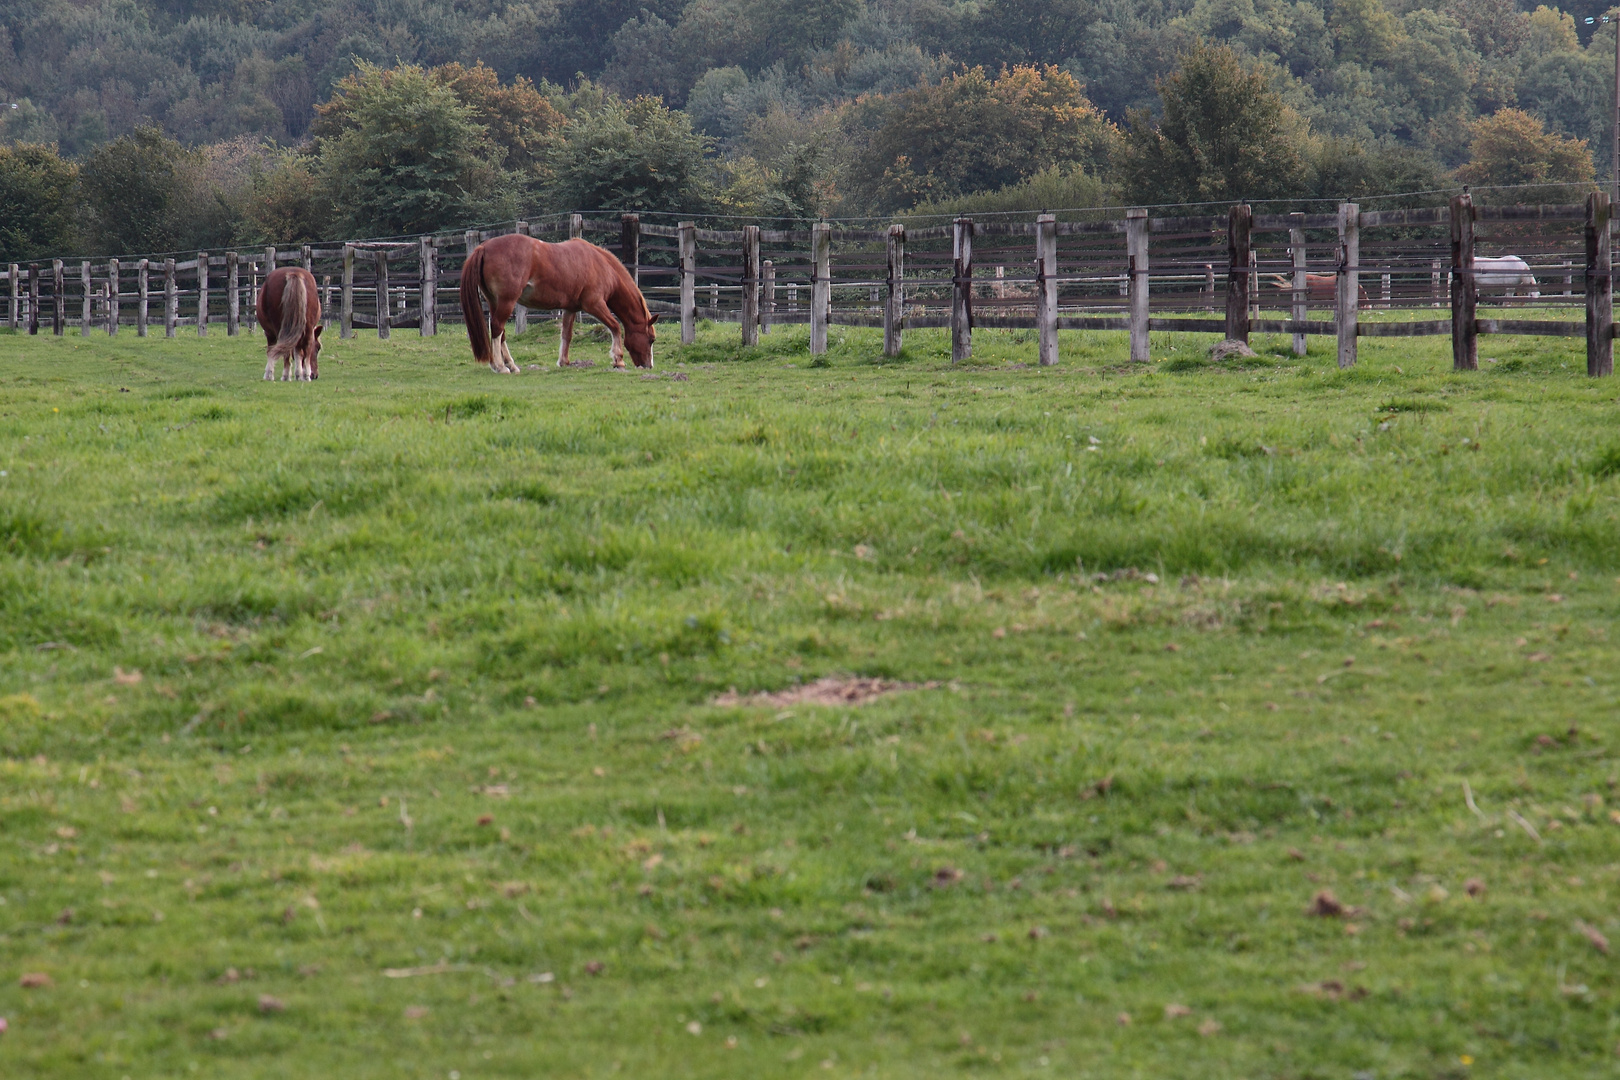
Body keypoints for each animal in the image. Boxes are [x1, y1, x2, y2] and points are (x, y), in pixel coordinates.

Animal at [456, 234, 657, 374]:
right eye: (651, 339)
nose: (648, 366)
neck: (601, 265)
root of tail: (483, 247)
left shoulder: (570, 308)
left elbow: (566, 334)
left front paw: (564, 362)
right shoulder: (594, 305)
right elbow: (615, 326)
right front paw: (618, 360)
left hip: (495, 302)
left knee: (500, 331)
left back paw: (510, 365)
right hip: (507, 301)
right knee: (497, 328)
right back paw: (500, 366)